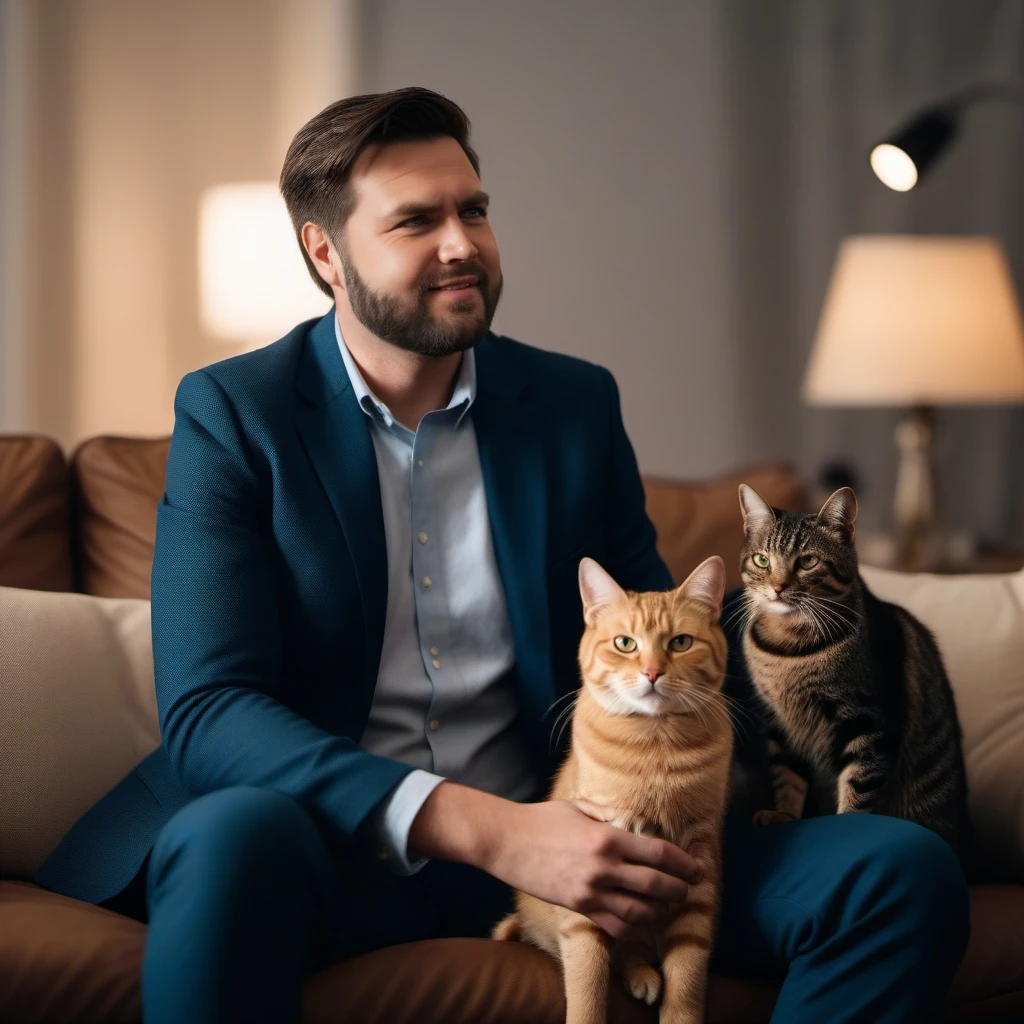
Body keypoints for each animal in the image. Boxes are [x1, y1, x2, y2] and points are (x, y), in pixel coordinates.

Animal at [491, 557, 733, 1024]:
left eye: (680, 643)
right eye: (625, 644)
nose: (652, 672)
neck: (657, 747)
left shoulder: (699, 867)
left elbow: (688, 971)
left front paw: (678, 1011)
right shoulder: (590, 875)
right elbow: (588, 976)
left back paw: (643, 975)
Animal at [737, 481, 966, 856]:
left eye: (808, 561)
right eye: (762, 560)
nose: (778, 587)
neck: (788, 649)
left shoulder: (866, 721)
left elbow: (858, 786)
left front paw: (845, 826)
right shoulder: (781, 726)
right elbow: (787, 777)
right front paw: (785, 815)